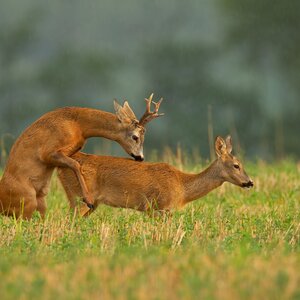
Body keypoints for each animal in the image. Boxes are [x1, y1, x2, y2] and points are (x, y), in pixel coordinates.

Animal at [0, 92, 163, 219]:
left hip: (40, 202)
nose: (140, 157)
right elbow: (76, 164)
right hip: (27, 201)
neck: (78, 125)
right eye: (135, 136)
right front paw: (89, 200)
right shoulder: (48, 152)